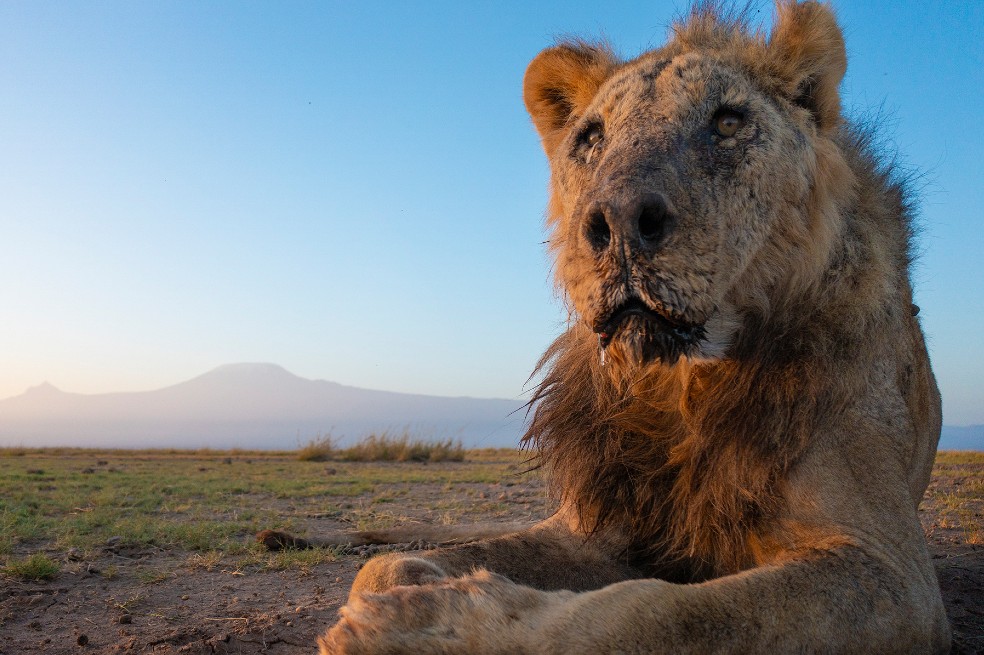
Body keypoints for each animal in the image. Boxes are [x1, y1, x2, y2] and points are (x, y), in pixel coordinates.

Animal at [307, 3, 951, 653]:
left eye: (727, 122)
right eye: (591, 138)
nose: (617, 223)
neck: (680, 384)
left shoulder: (891, 571)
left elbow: (656, 613)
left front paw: (429, 625)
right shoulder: (597, 525)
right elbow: (383, 567)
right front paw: (410, 588)